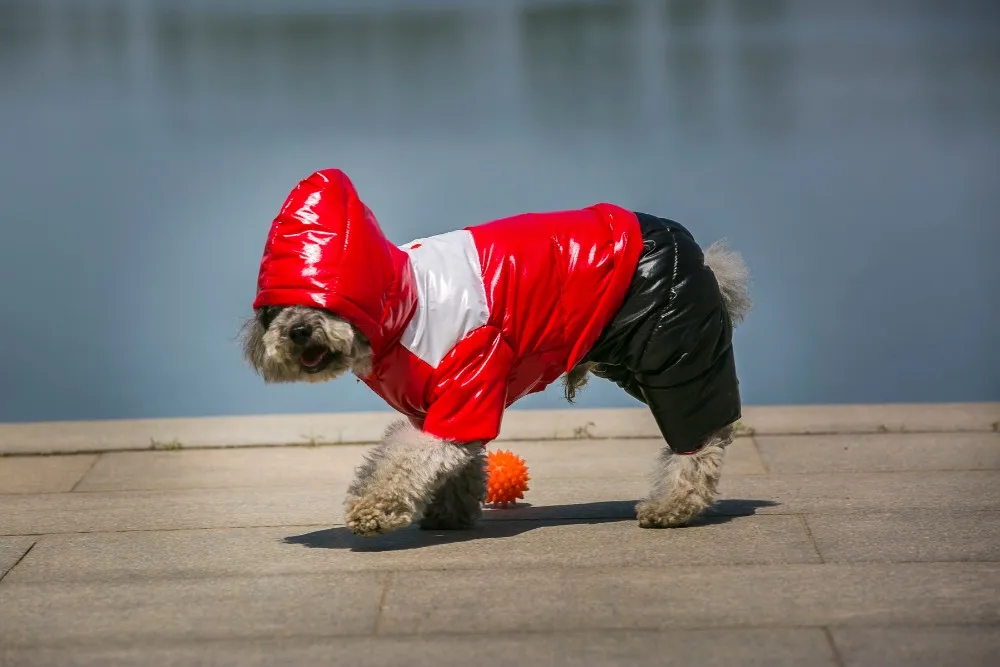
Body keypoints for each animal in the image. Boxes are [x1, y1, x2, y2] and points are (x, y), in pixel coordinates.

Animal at [238, 168, 748, 536]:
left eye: (323, 303)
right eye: (274, 311)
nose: (298, 331)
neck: (402, 304)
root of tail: (706, 259)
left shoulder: (467, 382)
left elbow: (405, 458)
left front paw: (373, 507)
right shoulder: (438, 403)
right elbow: (456, 458)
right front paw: (450, 512)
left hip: (671, 349)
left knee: (701, 439)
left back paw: (673, 506)